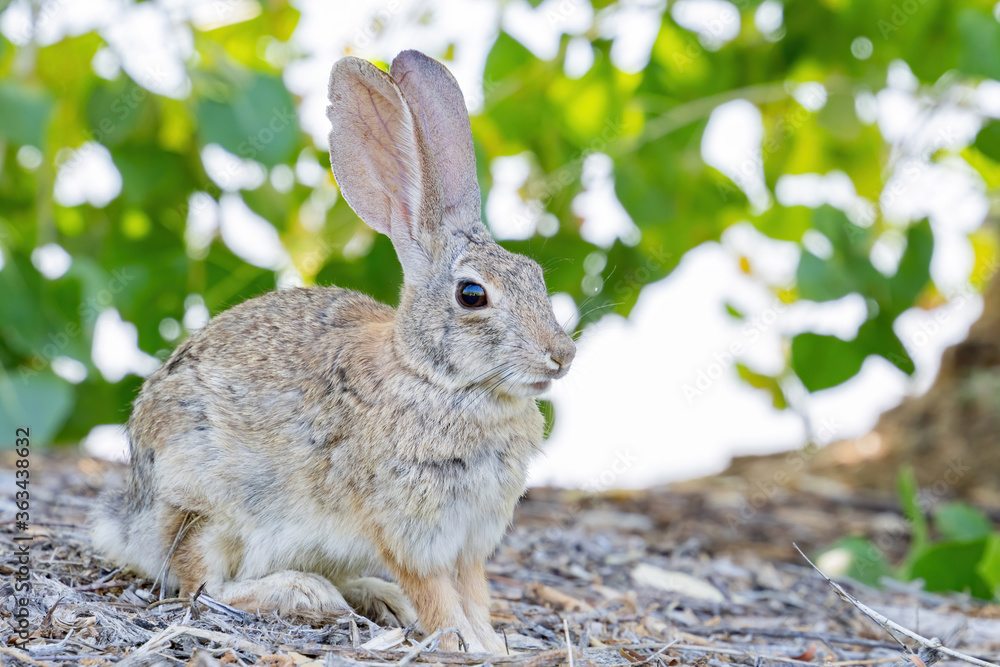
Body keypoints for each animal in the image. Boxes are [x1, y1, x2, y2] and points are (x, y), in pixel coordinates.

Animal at [90, 50, 575, 654]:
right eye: (472, 295)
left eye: (535, 275)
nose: (563, 354)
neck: (437, 380)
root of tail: (130, 519)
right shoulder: (410, 529)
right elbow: (437, 595)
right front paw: (460, 643)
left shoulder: (470, 539)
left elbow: (474, 593)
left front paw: (491, 643)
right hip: (207, 508)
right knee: (201, 588)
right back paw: (304, 593)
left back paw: (375, 597)